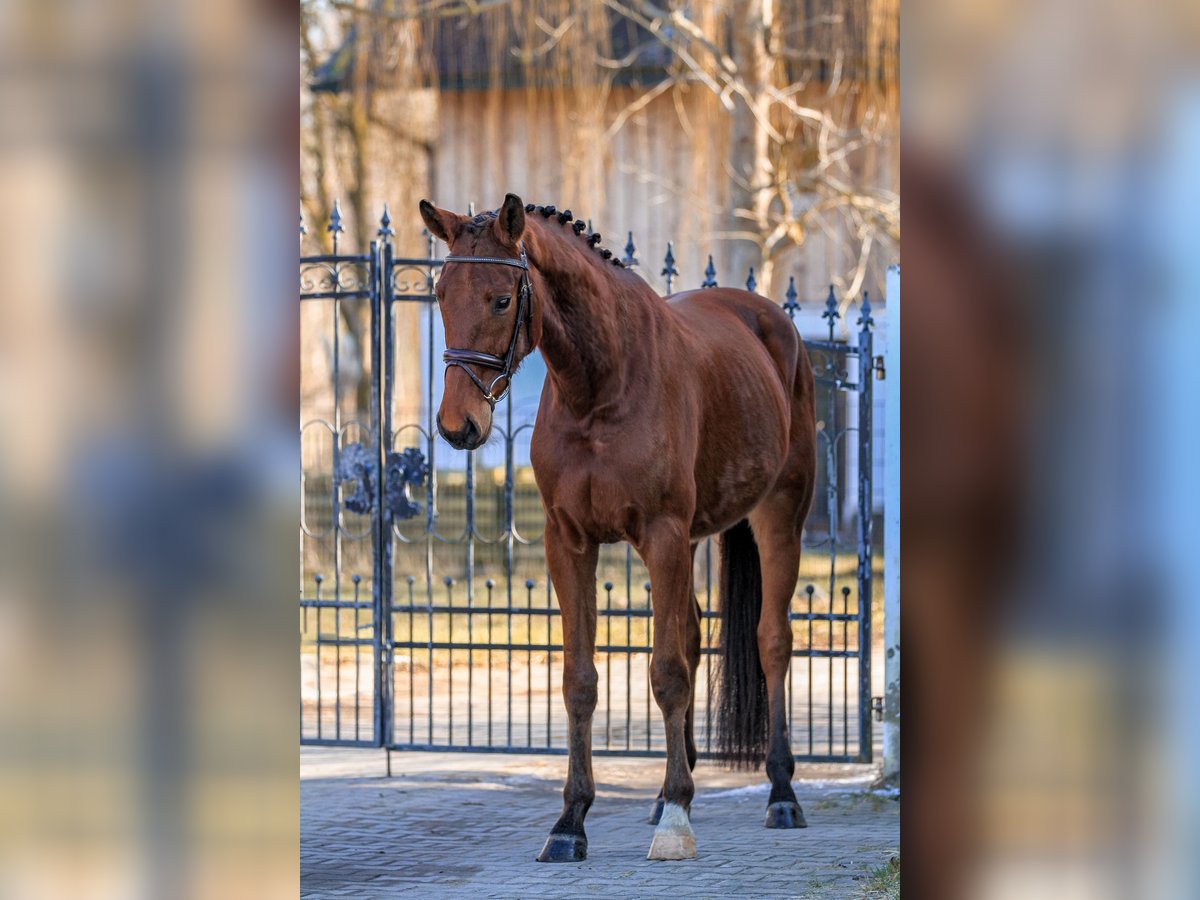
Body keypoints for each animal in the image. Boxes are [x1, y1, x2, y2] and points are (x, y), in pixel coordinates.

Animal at [417, 194, 820, 864]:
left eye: (500, 299)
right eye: (442, 294)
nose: (457, 425)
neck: (599, 388)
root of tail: (772, 321)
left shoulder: (661, 535)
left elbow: (666, 674)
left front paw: (677, 822)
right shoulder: (569, 543)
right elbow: (580, 679)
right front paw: (570, 822)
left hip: (777, 518)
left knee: (772, 642)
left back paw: (780, 793)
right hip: (692, 541)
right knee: (692, 634)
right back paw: (664, 792)